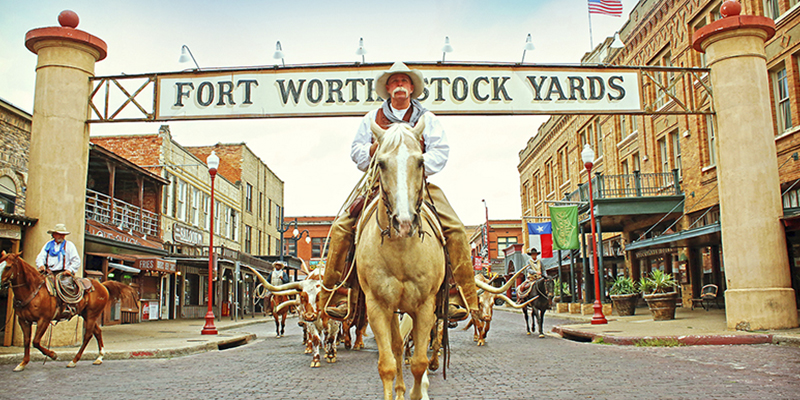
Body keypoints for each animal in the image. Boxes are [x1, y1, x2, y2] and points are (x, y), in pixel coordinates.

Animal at [0, 252, 138, 370]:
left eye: (8, 267)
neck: (34, 290)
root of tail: (102, 285)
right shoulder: (23, 320)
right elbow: (27, 340)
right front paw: (23, 363)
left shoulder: (44, 320)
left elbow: (35, 341)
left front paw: (53, 355)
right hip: (87, 315)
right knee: (97, 332)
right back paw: (99, 357)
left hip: (92, 314)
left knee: (88, 335)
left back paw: (74, 360)